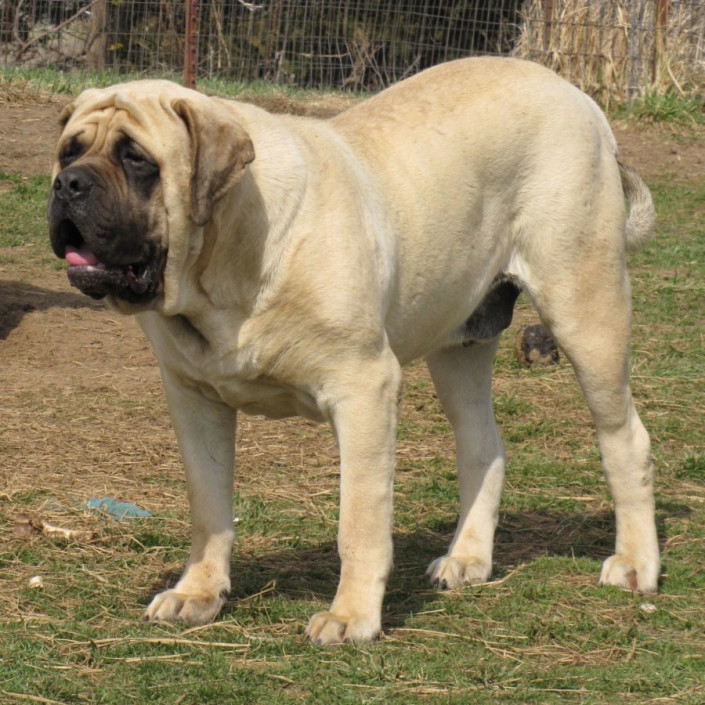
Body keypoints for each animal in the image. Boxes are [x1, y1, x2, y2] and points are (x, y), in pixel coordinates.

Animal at [48, 57, 660, 644]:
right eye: (68, 151)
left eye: (136, 160)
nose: (67, 185)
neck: (225, 263)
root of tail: (578, 96)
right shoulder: (194, 399)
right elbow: (209, 508)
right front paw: (198, 592)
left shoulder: (364, 390)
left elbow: (359, 523)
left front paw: (352, 616)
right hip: (460, 342)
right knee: (483, 446)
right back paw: (467, 558)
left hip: (586, 312)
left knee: (624, 438)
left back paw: (635, 562)